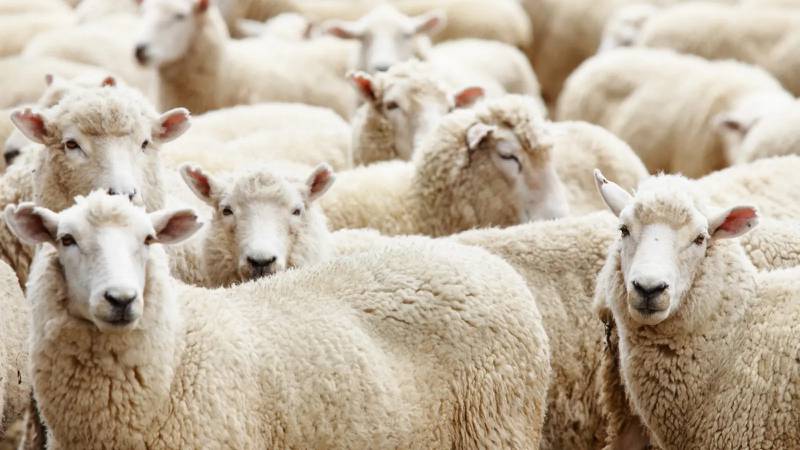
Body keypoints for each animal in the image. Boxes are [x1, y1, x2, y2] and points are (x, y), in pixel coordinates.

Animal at [6, 190, 551, 449]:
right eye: (67, 240)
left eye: (148, 240)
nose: (121, 299)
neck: (177, 355)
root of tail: (484, 261)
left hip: (498, 427)